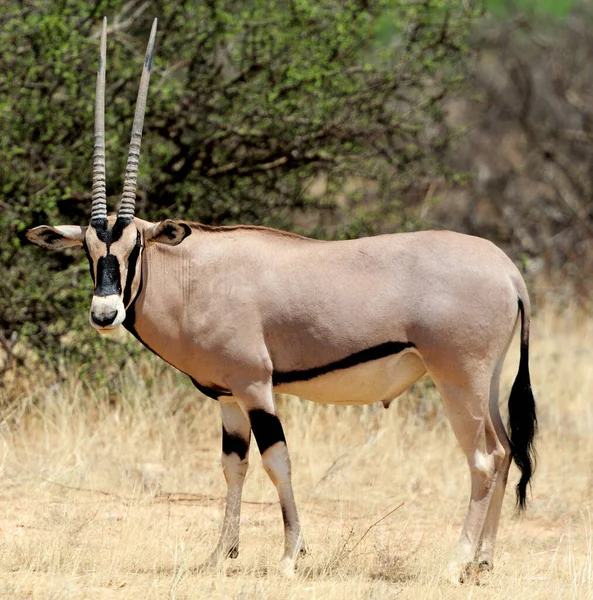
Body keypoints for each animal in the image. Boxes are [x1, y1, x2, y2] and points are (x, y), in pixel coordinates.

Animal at [27, 18, 536, 580]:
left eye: (133, 246)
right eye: (88, 249)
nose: (104, 313)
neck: (193, 273)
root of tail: (508, 271)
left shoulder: (255, 386)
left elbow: (277, 462)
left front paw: (292, 554)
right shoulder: (226, 396)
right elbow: (234, 465)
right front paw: (220, 553)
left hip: (457, 380)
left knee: (483, 459)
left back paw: (455, 563)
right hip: (485, 382)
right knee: (505, 452)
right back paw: (483, 562)